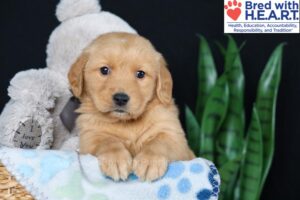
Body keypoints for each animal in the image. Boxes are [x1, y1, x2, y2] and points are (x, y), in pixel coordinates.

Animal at [68, 31, 195, 181]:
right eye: (104, 70)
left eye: (140, 74)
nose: (121, 98)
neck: (127, 123)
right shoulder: (89, 136)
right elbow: (107, 141)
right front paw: (116, 159)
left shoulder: (174, 136)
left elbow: (159, 142)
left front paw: (149, 161)